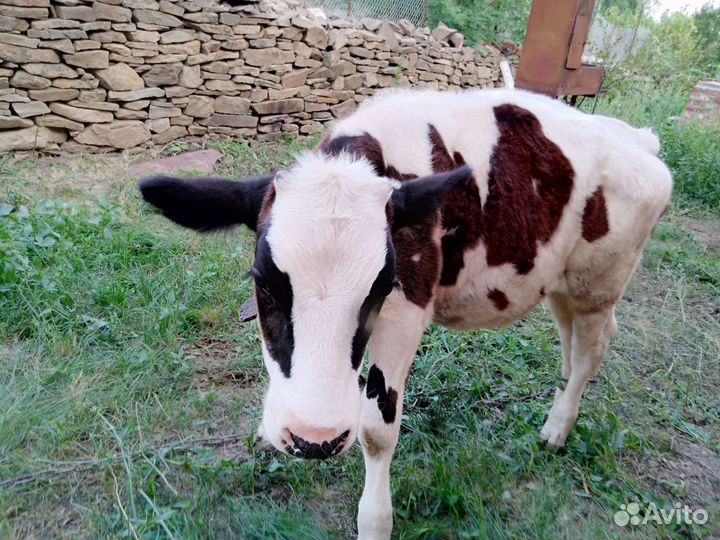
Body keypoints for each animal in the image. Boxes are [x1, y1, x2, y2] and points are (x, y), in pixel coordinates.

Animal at [139, 88, 673, 540]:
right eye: (262, 280)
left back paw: (557, 428)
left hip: (599, 280)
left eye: (380, 287)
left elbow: (377, 430)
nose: (314, 439)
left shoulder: (406, 309)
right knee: (576, 338)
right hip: (561, 279)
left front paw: (374, 522)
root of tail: (637, 139)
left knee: (590, 350)